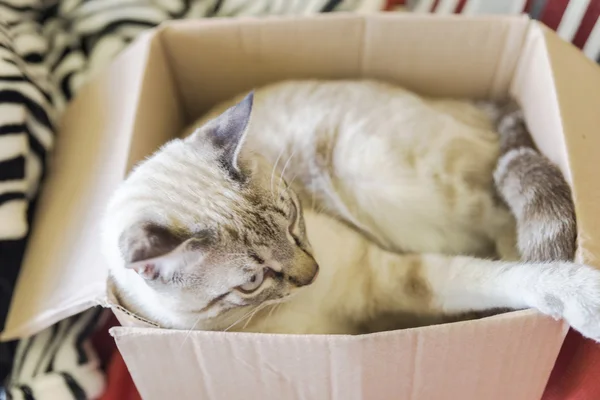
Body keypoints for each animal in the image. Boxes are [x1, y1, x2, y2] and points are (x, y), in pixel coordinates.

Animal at [103, 79, 600, 340]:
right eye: (252, 281)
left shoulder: (395, 276)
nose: (313, 274)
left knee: (509, 224)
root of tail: (469, 100)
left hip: (373, 176)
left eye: (293, 217)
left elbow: (515, 278)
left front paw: (583, 298)